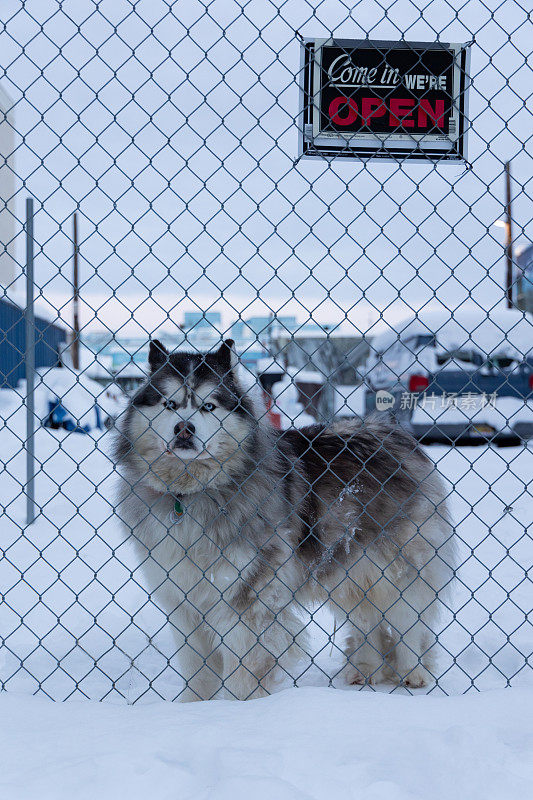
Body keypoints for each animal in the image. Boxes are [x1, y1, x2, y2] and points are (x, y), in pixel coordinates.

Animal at [114, 338, 456, 700]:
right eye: (170, 404)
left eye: (208, 406)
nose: (184, 428)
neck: (192, 493)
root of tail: (393, 432)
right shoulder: (184, 602)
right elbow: (198, 672)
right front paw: (194, 706)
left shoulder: (248, 601)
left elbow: (240, 672)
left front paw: (234, 706)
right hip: (349, 572)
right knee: (367, 621)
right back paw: (365, 672)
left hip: (397, 570)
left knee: (410, 623)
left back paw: (413, 675)